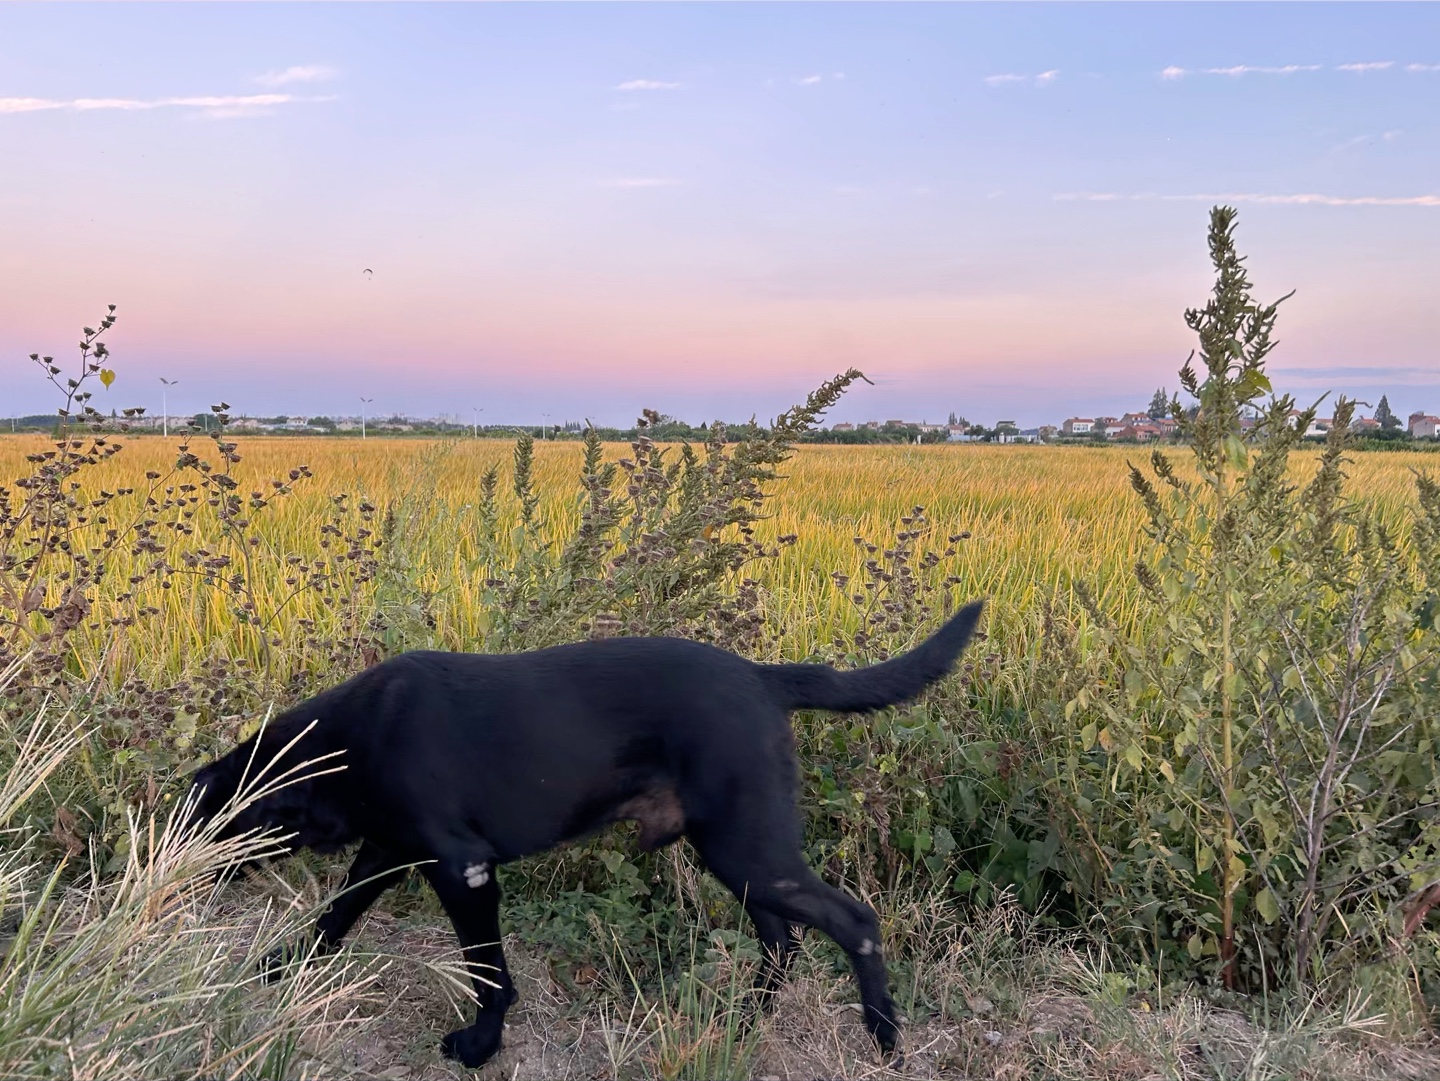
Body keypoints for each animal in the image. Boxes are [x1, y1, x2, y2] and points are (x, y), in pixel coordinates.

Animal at [185, 604, 984, 1070]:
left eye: (205, 823)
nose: (177, 891)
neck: (349, 740)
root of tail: (763, 677)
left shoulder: (462, 867)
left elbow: (487, 970)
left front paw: (481, 1044)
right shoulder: (389, 851)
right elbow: (335, 916)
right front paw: (280, 967)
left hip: (747, 847)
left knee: (856, 922)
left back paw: (884, 1038)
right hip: (738, 853)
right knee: (782, 942)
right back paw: (740, 1024)